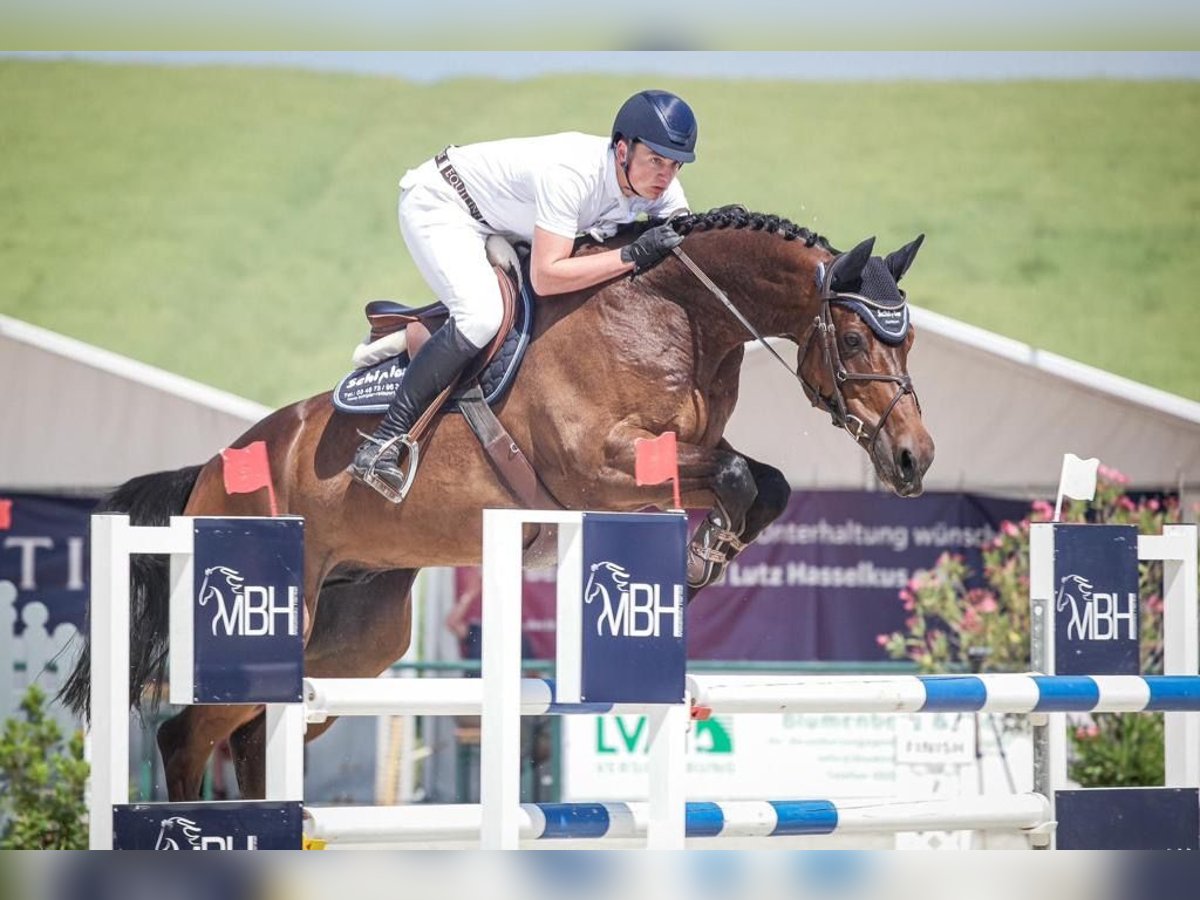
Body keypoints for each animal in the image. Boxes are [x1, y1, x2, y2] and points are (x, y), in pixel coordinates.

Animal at [58, 206, 936, 801]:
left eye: (911, 343)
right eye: (854, 341)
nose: (913, 457)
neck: (671, 312)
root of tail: (210, 469)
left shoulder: (673, 456)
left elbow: (766, 483)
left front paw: (708, 554)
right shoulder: (599, 467)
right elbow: (735, 479)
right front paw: (700, 555)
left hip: (354, 641)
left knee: (250, 741)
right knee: (184, 737)